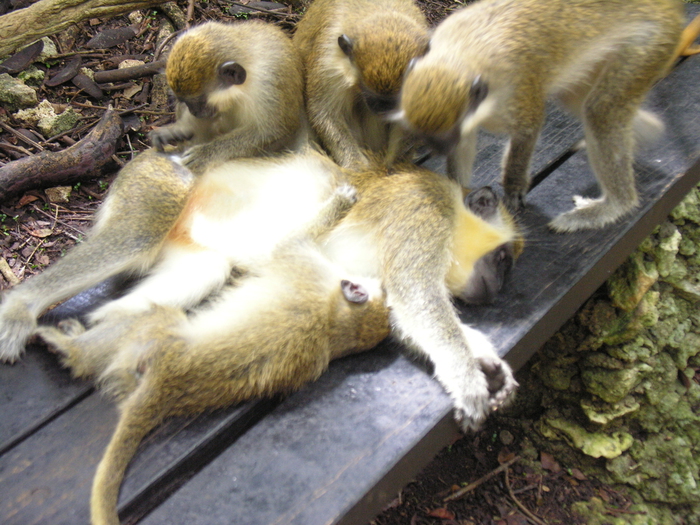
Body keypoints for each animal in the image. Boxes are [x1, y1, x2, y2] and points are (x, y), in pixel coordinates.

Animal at [35, 185, 391, 525]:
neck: (338, 323)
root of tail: (165, 388)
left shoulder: (304, 265)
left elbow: (286, 244)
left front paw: (342, 202)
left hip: (154, 343)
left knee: (154, 317)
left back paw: (72, 351)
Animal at [149, 20, 308, 174]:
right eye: (186, 102)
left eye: (200, 101)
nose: (194, 112)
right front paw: (178, 129)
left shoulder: (271, 82)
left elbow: (273, 131)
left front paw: (206, 154)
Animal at [293, 0, 429, 169]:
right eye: (371, 96)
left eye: (396, 99)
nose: (384, 110)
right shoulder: (329, 64)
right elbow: (324, 111)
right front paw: (356, 166)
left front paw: (395, 167)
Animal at [395, 0, 684, 232]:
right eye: (427, 137)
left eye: (443, 137)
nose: (439, 149)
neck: (461, 55)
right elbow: (465, 144)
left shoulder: (517, 87)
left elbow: (528, 129)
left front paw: (513, 187)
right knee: (579, 101)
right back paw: (646, 133)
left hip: (651, 42)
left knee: (601, 110)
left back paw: (614, 205)